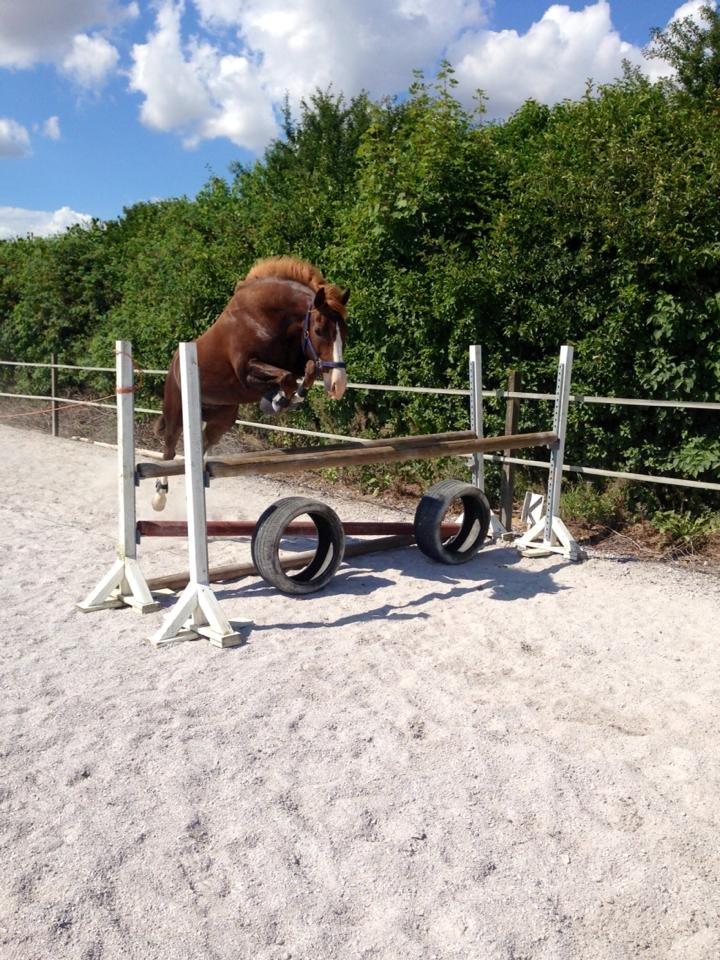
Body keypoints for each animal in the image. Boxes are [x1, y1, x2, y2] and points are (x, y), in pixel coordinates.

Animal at [153, 255, 350, 510]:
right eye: (318, 330)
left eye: (344, 332)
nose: (338, 385)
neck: (268, 318)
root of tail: (175, 361)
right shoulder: (246, 372)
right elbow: (286, 377)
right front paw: (278, 401)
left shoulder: (296, 360)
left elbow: (305, 371)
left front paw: (288, 398)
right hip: (176, 410)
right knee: (168, 449)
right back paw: (159, 496)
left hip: (221, 419)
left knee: (203, 443)